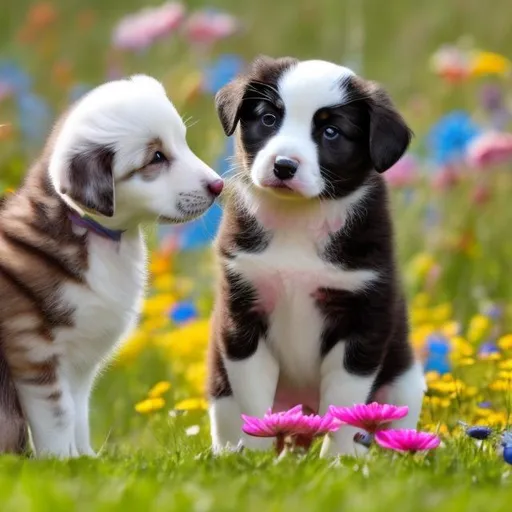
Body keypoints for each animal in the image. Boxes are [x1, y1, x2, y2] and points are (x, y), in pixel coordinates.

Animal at [0, 74, 222, 458]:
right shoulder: (32, 352)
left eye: (181, 141)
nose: (219, 186)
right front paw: (60, 462)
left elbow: (78, 413)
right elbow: (59, 416)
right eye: (156, 157)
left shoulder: (78, 361)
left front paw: (85, 460)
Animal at [206, 57, 426, 456]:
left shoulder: (362, 320)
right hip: (219, 380)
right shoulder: (244, 314)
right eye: (268, 118)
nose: (283, 166)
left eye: (331, 132)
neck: (300, 218)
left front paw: (339, 462)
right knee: (228, 419)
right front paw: (255, 459)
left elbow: (344, 409)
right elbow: (253, 402)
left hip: (404, 381)